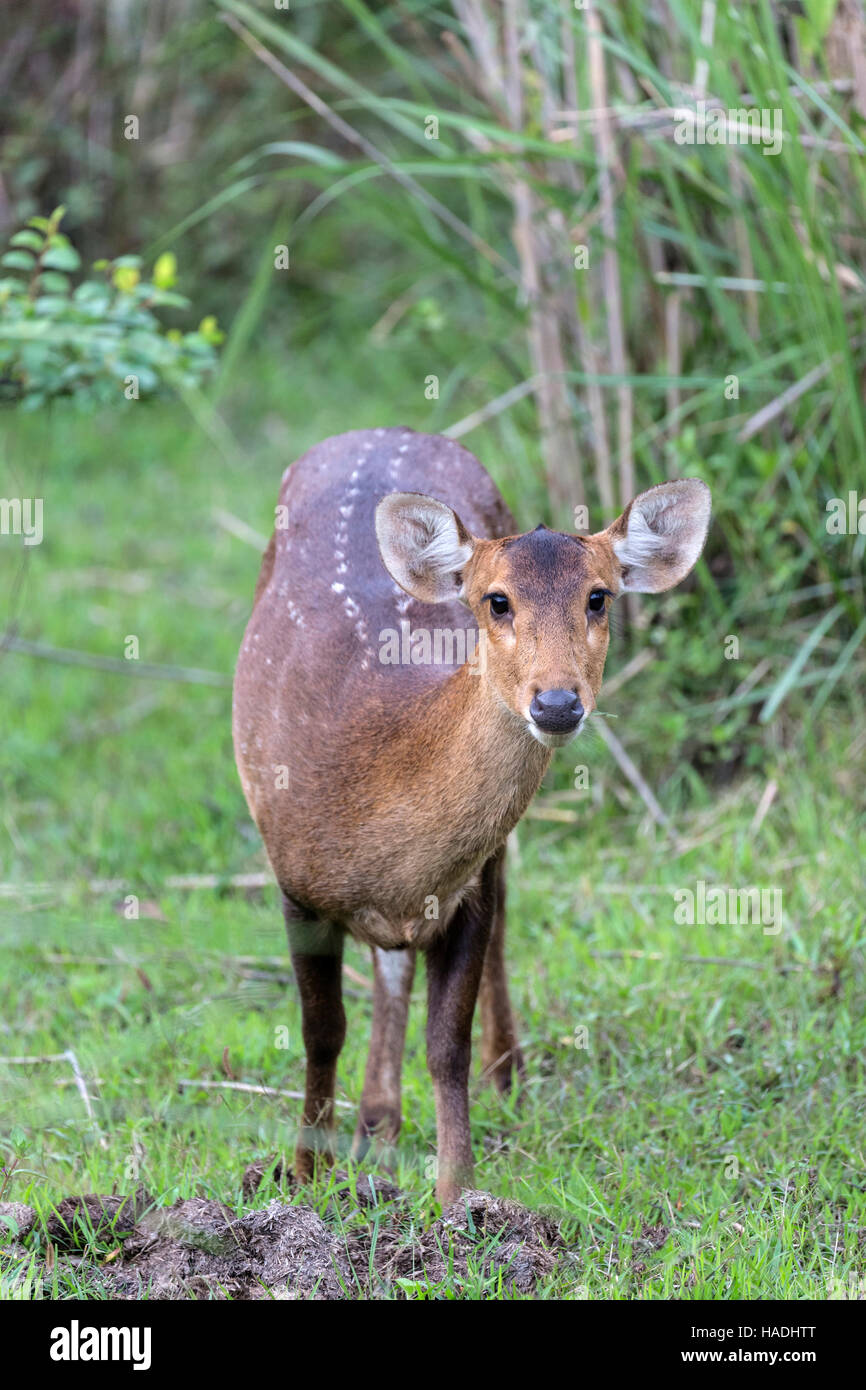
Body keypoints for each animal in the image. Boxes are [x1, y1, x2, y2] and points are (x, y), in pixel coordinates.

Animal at [232, 425, 711, 1206]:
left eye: (599, 596)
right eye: (497, 600)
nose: (557, 702)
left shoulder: (467, 892)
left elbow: (446, 1046)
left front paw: (458, 1200)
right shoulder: (294, 880)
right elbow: (320, 1031)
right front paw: (303, 1175)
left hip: (493, 862)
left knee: (488, 928)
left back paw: (498, 1079)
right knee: (389, 966)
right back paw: (375, 1125)